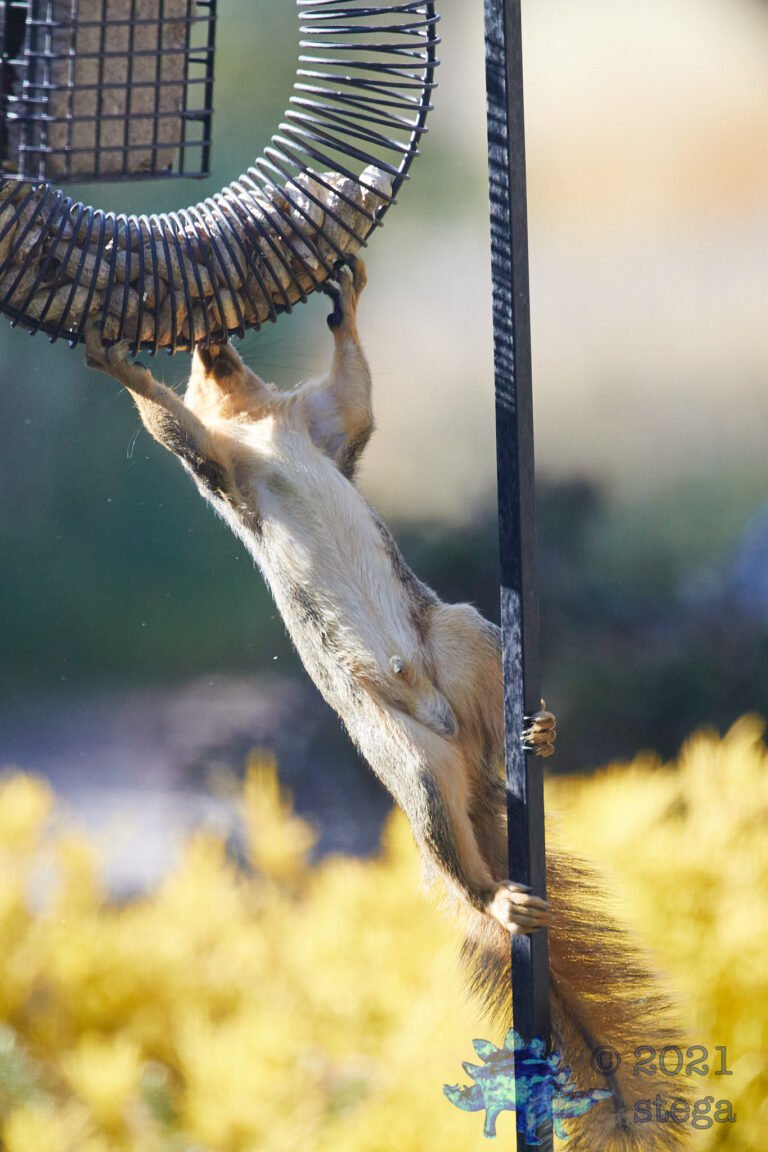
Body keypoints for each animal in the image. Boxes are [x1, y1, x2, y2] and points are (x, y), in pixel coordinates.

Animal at [85, 259, 687, 1150]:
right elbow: (172, 429)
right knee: (452, 847)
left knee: (492, 715)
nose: (212, 342)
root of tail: (466, 760)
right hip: (407, 759)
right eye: (194, 359)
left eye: (227, 343)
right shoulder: (217, 466)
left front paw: (349, 300)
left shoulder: (327, 426)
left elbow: (357, 397)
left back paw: (539, 731)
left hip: (464, 636)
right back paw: (498, 897)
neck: (259, 421)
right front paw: (116, 362)